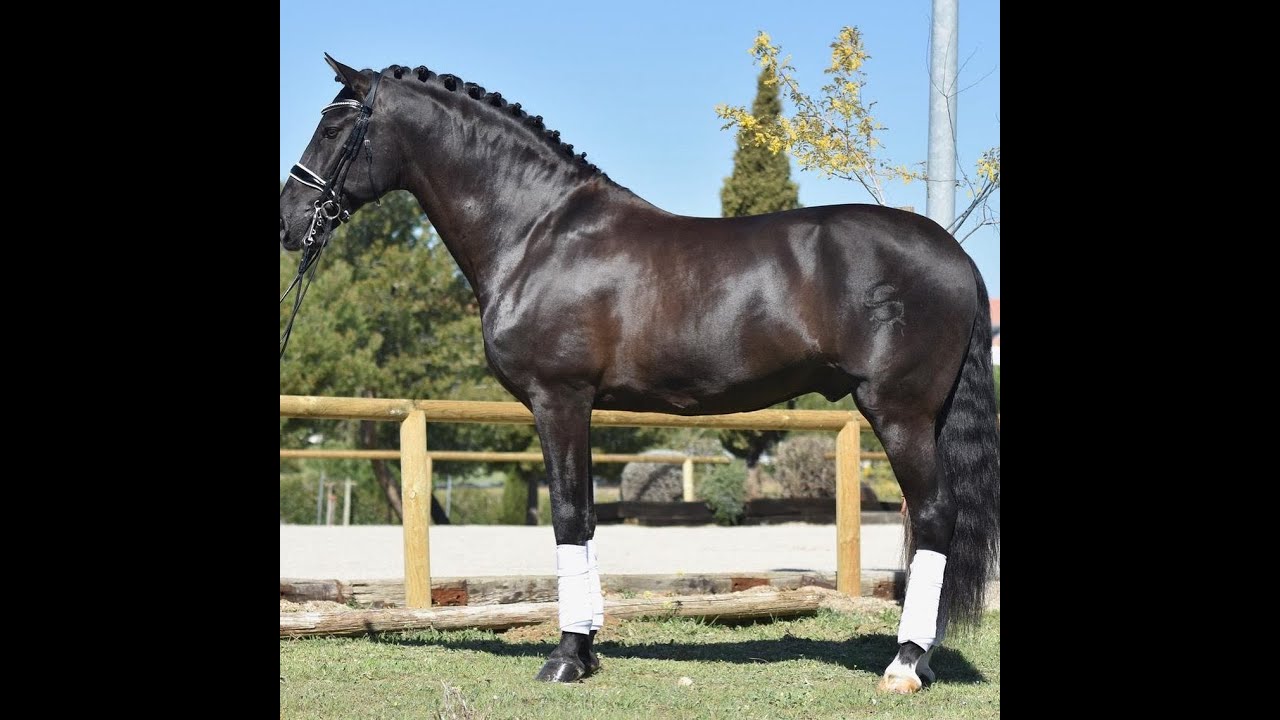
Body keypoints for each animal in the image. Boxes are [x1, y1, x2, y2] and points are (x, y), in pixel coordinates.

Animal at [279, 55, 999, 693]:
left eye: (333, 126)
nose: (288, 222)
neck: (539, 233)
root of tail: (956, 254)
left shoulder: (558, 398)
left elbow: (569, 516)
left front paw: (566, 657)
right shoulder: (581, 407)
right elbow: (590, 517)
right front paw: (587, 648)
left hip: (899, 412)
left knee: (932, 517)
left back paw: (905, 664)